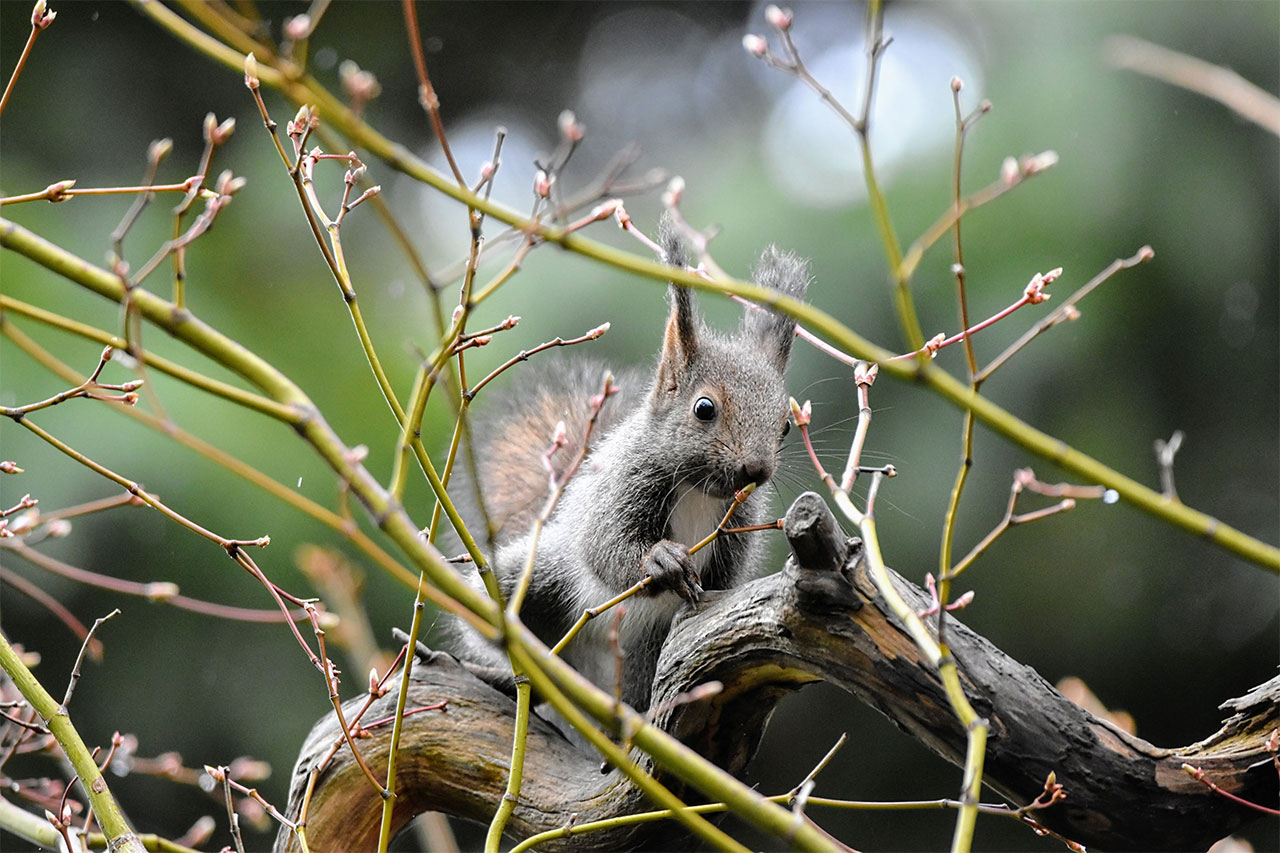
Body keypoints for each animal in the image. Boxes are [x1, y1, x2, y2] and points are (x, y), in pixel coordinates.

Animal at [450, 221, 810, 717]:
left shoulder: (739, 521)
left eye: (786, 425)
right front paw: (659, 559)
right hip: (531, 579)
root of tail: (592, 678)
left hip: (644, 654)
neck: (699, 491)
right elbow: (604, 545)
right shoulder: (624, 481)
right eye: (703, 408)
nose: (755, 470)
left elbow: (724, 583)